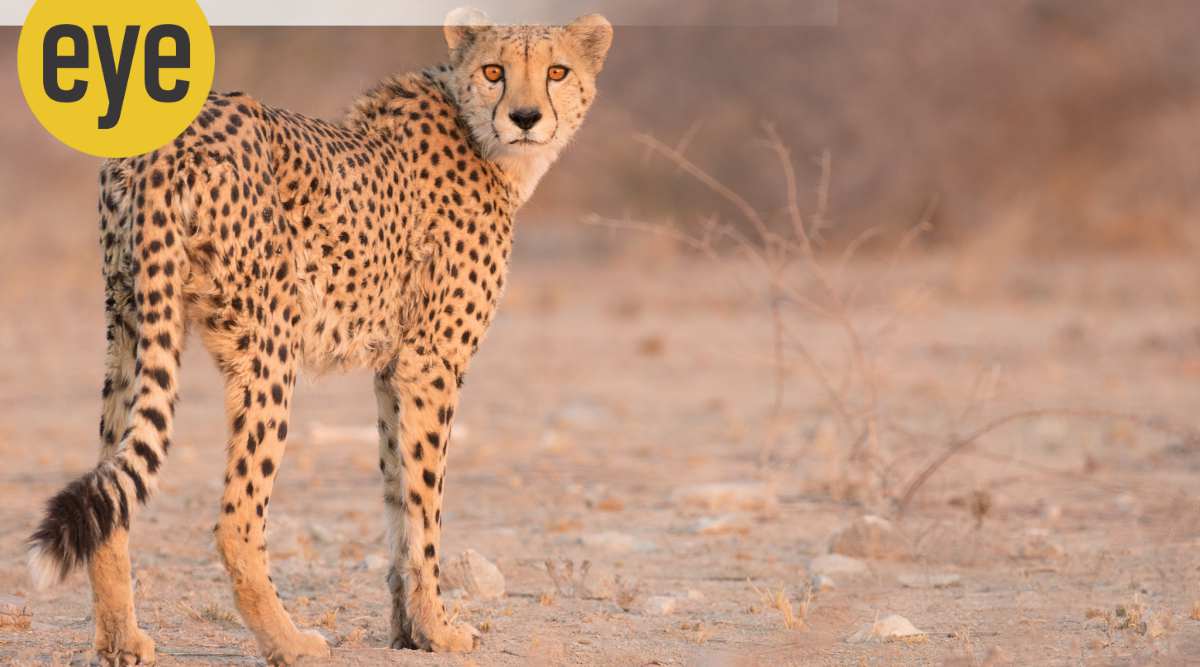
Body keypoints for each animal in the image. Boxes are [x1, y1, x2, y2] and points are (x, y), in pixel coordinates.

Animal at [26, 9, 612, 665]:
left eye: (557, 71)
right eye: (494, 71)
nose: (526, 117)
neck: (482, 139)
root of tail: (170, 143)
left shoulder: (394, 369)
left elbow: (397, 497)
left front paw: (408, 631)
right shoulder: (432, 361)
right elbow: (426, 510)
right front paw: (439, 630)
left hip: (131, 323)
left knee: (112, 484)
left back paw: (121, 639)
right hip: (270, 343)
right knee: (237, 519)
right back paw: (290, 641)